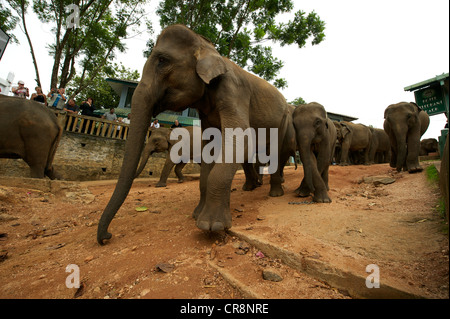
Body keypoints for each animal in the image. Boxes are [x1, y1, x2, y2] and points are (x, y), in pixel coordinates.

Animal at [97, 25, 294, 245]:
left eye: (162, 60)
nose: (107, 237)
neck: (210, 49)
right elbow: (211, 148)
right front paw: (197, 215)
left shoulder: (233, 91)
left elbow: (240, 138)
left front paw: (211, 226)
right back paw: (251, 188)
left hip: (284, 120)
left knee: (275, 153)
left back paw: (275, 194)